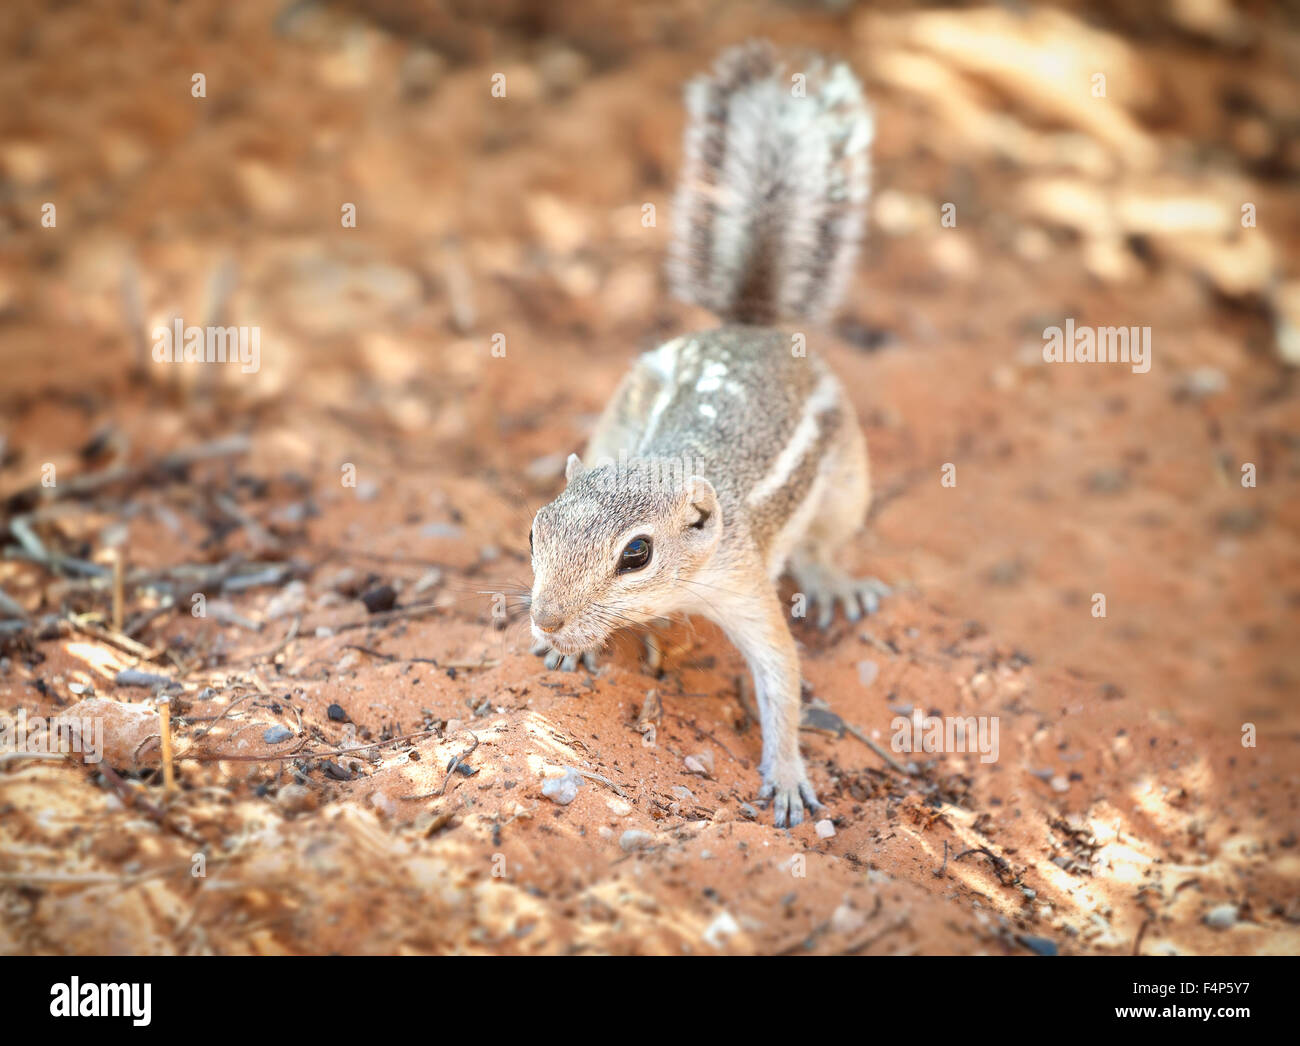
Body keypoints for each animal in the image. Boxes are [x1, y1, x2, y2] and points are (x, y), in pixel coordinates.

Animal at [525, 38, 883, 826]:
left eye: (636, 555)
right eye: (537, 531)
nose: (547, 619)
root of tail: (754, 327)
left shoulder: (744, 584)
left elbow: (781, 675)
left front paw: (788, 776)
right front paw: (570, 650)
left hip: (848, 476)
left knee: (828, 541)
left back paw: (833, 580)